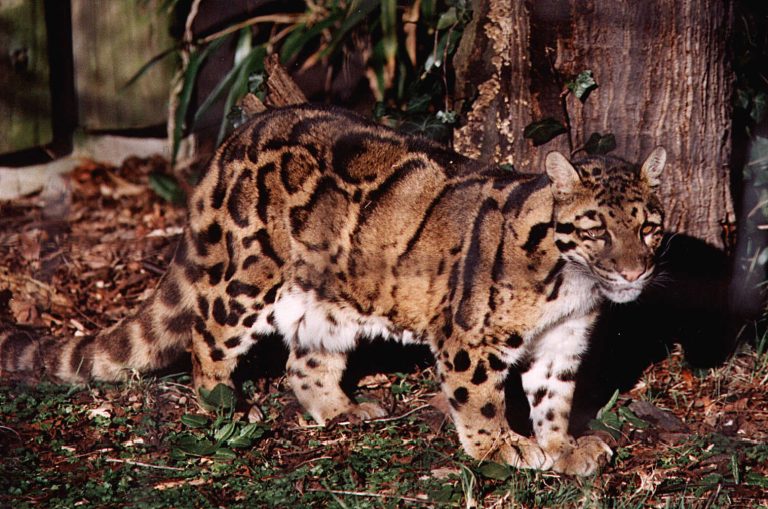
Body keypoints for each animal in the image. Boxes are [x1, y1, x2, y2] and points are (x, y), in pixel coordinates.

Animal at [0, 104, 666, 476]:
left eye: (649, 227)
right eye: (597, 227)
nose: (635, 272)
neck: (573, 283)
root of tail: (235, 137)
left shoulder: (563, 342)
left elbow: (554, 397)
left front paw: (562, 447)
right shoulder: (469, 339)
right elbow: (480, 401)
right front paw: (500, 451)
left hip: (330, 299)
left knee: (304, 360)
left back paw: (340, 408)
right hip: (250, 275)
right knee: (207, 333)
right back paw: (221, 402)